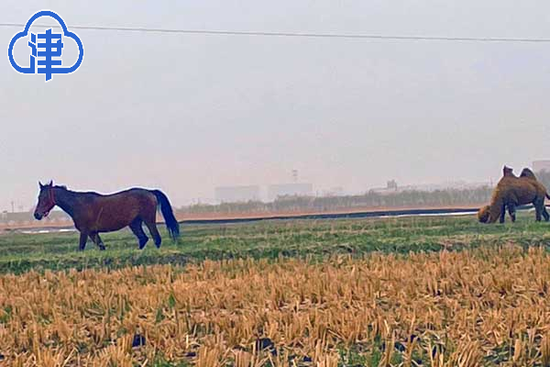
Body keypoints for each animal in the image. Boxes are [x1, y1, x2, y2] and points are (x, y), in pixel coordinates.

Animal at [33, 183, 181, 252]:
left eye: (44, 197)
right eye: (38, 197)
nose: (37, 214)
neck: (78, 204)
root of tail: (150, 192)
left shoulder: (85, 232)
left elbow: (81, 247)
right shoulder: (93, 233)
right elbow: (101, 247)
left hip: (148, 220)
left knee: (156, 238)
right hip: (134, 223)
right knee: (143, 239)